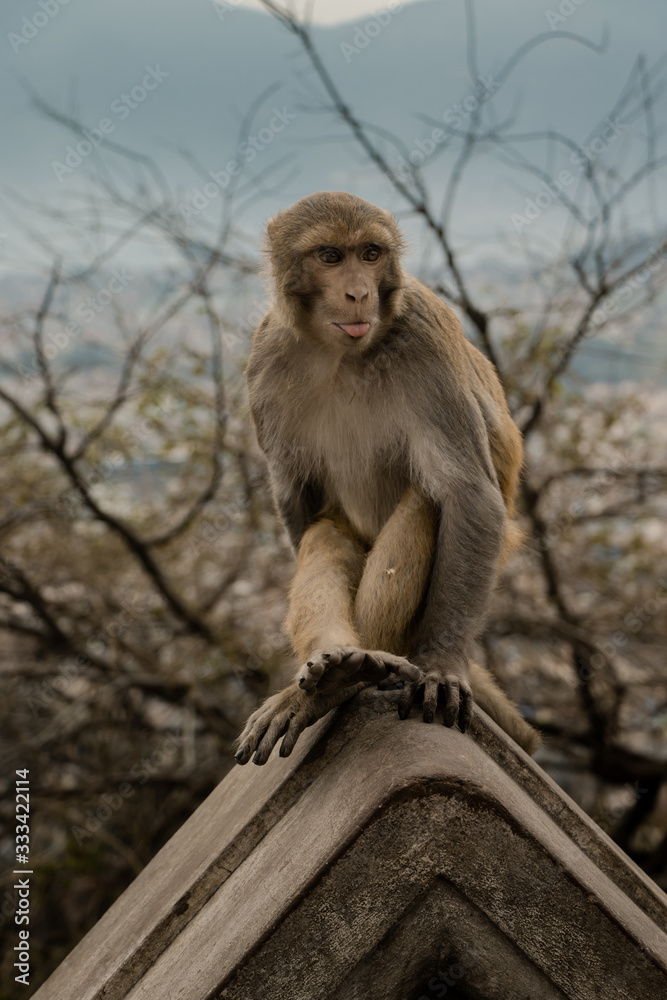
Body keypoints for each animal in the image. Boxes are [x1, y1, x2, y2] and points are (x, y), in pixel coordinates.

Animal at [234, 191, 539, 766]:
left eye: (371, 254)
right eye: (331, 256)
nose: (358, 292)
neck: (342, 354)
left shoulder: (425, 343)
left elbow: (469, 495)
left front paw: (442, 663)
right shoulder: (265, 358)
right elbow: (298, 499)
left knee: (427, 502)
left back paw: (355, 673)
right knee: (324, 534)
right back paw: (333, 667)